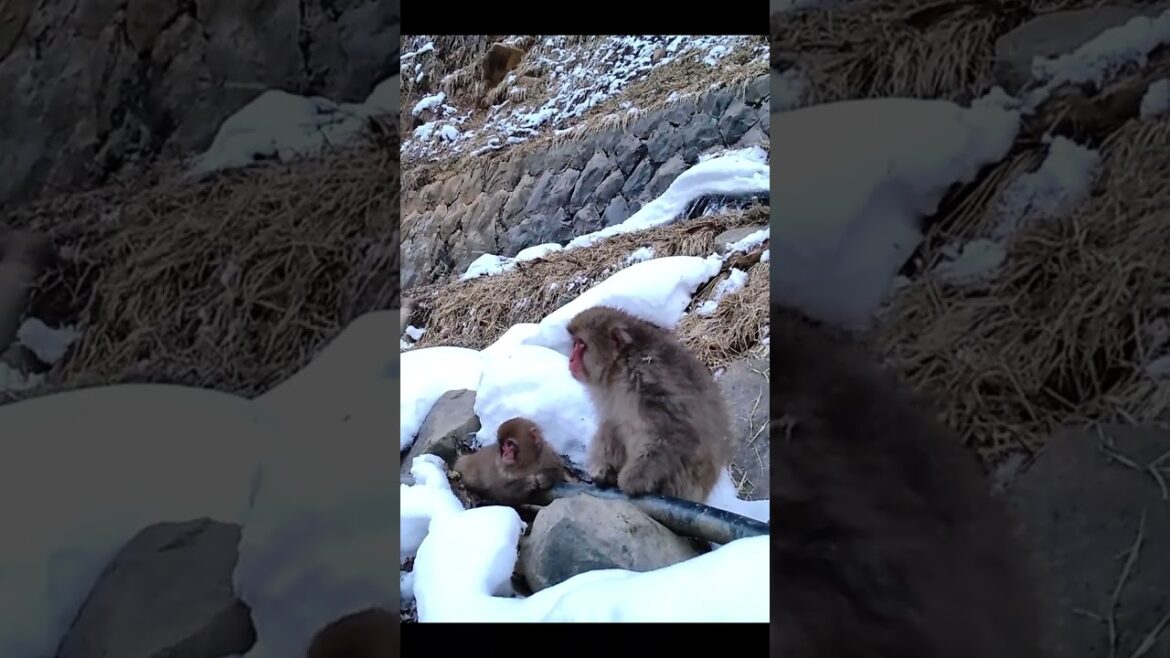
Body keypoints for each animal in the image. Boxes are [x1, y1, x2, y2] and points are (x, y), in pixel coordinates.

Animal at [565, 305, 733, 504]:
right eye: (575, 343)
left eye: (581, 344)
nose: (570, 359)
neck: (618, 369)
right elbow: (611, 423)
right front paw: (602, 469)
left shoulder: (648, 378)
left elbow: (677, 433)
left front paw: (632, 480)